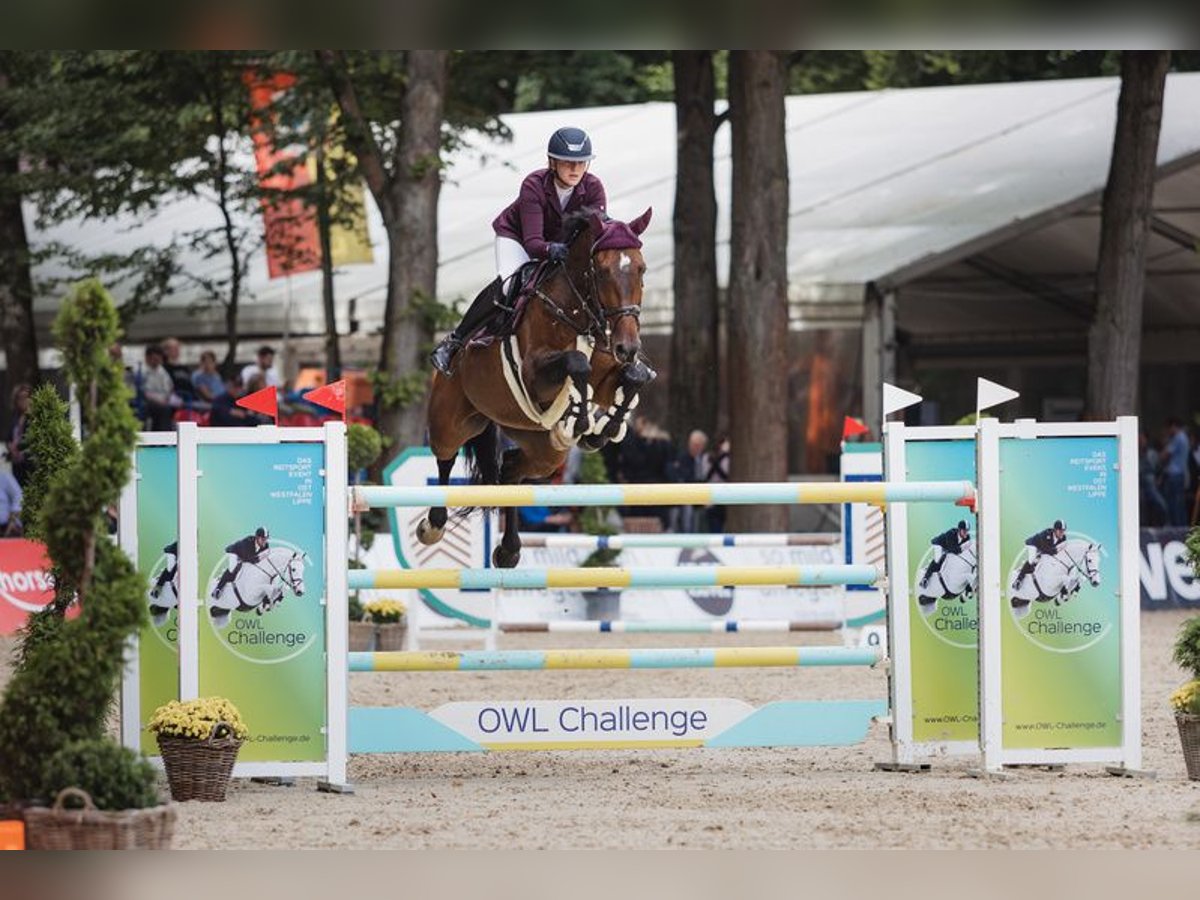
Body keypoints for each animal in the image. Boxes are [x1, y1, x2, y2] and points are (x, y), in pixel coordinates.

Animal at [417, 207, 652, 566]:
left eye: (641, 269)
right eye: (601, 270)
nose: (627, 347)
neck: (580, 313)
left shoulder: (608, 374)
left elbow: (634, 377)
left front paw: (602, 429)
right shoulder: (533, 376)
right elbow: (576, 363)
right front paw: (582, 420)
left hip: (542, 448)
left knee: (511, 470)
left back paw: (509, 550)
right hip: (451, 419)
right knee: (445, 457)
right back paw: (434, 524)